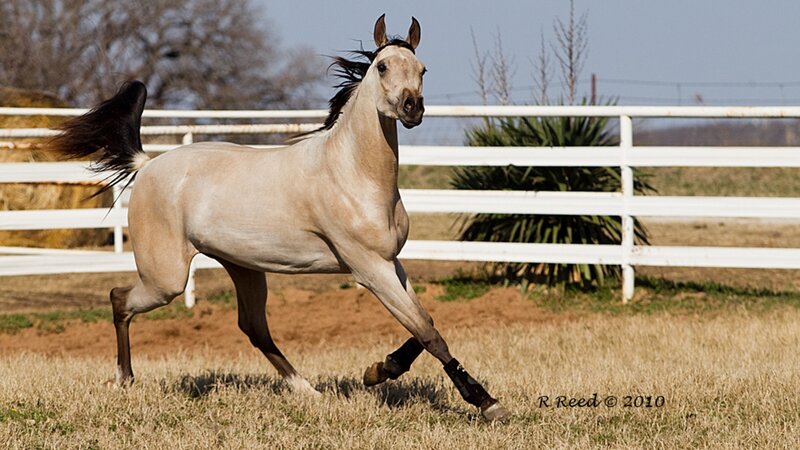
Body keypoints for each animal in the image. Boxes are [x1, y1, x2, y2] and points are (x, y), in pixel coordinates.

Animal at [50, 15, 510, 421]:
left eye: (422, 69)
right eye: (382, 67)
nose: (413, 108)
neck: (350, 172)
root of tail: (147, 165)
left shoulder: (391, 264)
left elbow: (423, 324)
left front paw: (378, 371)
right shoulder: (369, 269)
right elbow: (428, 332)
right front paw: (486, 402)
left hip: (242, 267)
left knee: (254, 327)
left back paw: (308, 391)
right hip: (166, 278)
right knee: (119, 299)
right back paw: (123, 379)